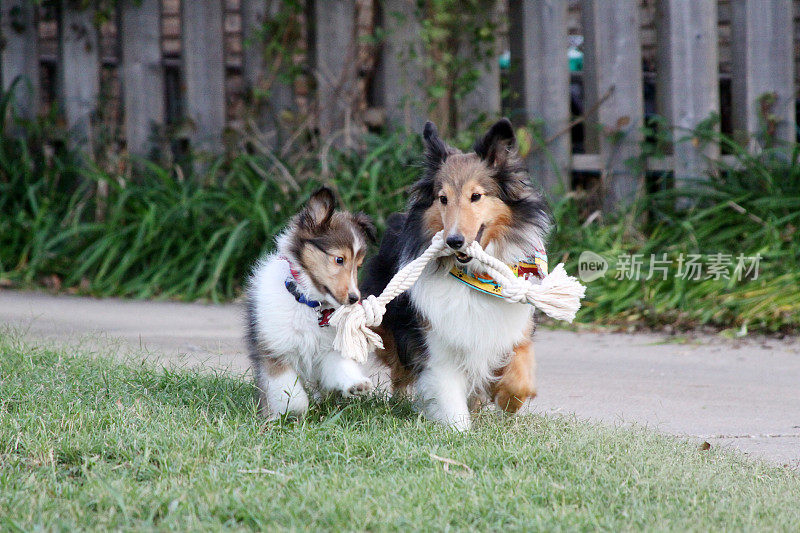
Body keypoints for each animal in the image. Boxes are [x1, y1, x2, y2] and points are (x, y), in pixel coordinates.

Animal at [245, 185, 376, 418]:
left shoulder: (327, 351)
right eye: (339, 259)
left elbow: (342, 367)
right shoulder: (277, 352)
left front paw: (357, 385)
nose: (354, 299)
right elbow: (292, 393)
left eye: (358, 266)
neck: (309, 303)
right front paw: (292, 411)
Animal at [360, 119, 552, 428]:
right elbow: (449, 396)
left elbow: (520, 377)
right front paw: (457, 429)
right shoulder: (438, 342)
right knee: (400, 371)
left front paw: (506, 399)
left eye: (476, 196)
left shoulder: (514, 329)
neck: (476, 278)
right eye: (443, 199)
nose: (453, 241)